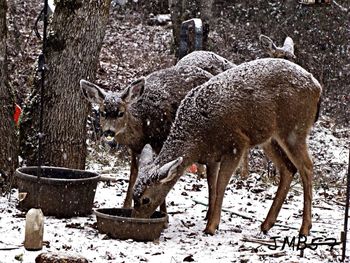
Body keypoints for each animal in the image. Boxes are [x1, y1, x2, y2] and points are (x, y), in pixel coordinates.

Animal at [132, 58, 322, 237]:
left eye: (146, 199)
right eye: (134, 196)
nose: (138, 223)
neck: (197, 139)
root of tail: (317, 87)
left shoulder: (236, 144)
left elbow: (221, 184)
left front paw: (211, 226)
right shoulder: (211, 156)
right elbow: (211, 185)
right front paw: (209, 217)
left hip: (294, 128)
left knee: (306, 166)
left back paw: (304, 228)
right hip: (269, 138)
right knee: (288, 168)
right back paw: (267, 224)